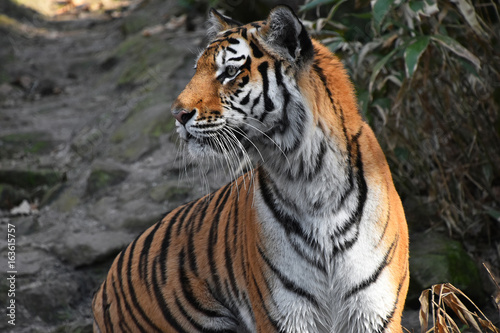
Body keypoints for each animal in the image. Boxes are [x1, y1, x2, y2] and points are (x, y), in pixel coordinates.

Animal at [92, 5, 408, 332]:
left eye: (230, 72)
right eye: (196, 69)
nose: (177, 114)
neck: (309, 178)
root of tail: (102, 287)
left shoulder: (374, 313)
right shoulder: (284, 315)